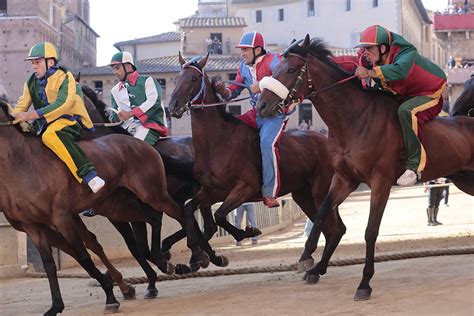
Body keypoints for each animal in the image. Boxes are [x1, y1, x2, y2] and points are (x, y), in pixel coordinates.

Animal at [0, 102, 209, 316]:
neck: (24, 163)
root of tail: (140, 144)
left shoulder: (62, 217)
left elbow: (84, 255)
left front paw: (111, 295)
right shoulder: (33, 226)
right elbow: (51, 264)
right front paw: (55, 306)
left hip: (152, 194)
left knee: (180, 213)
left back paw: (197, 255)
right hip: (121, 207)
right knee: (154, 218)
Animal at [168, 52, 346, 276]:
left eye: (193, 79)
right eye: (176, 78)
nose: (173, 106)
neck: (218, 142)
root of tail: (327, 140)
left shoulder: (245, 187)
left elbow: (219, 215)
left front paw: (247, 231)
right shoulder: (211, 191)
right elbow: (189, 209)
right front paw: (198, 255)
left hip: (321, 191)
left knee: (335, 228)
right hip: (303, 195)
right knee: (330, 228)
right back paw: (310, 262)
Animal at [256, 35, 474, 302]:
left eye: (291, 69)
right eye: (275, 68)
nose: (262, 105)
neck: (355, 119)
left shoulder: (380, 183)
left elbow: (370, 230)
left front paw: (364, 283)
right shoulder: (344, 179)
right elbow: (322, 213)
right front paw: (309, 259)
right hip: (466, 180)